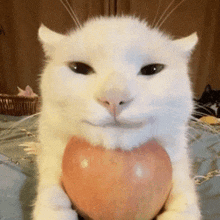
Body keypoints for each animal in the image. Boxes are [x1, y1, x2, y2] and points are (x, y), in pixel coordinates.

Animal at [34, 15, 201, 220]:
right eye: (79, 68)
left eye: (152, 69)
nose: (114, 97)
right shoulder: (50, 149)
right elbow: (50, 180)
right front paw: (54, 210)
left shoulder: (177, 154)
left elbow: (184, 187)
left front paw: (179, 211)